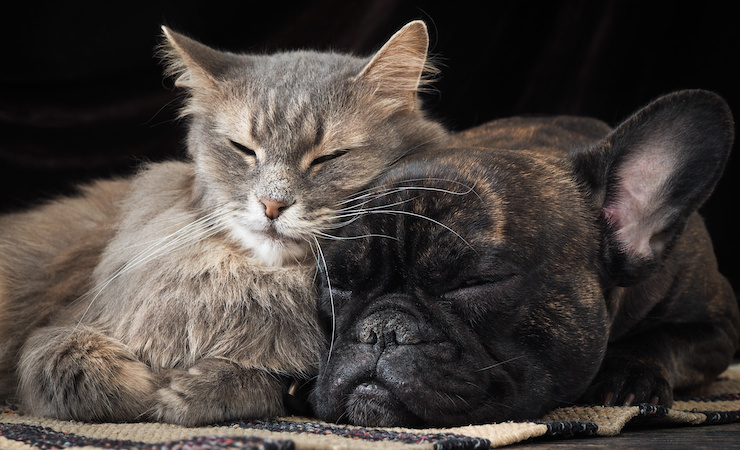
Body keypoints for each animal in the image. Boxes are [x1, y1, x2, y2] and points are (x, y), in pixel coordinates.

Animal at [0, 20, 450, 426]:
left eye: (329, 157)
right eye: (243, 149)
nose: (272, 204)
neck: (261, 282)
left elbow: (256, 382)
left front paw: (185, 390)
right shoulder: (56, 331)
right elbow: (81, 371)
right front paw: (150, 386)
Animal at [310, 89, 740, 428]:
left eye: (476, 283)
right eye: (337, 284)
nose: (381, 330)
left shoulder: (720, 324)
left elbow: (664, 340)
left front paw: (632, 373)